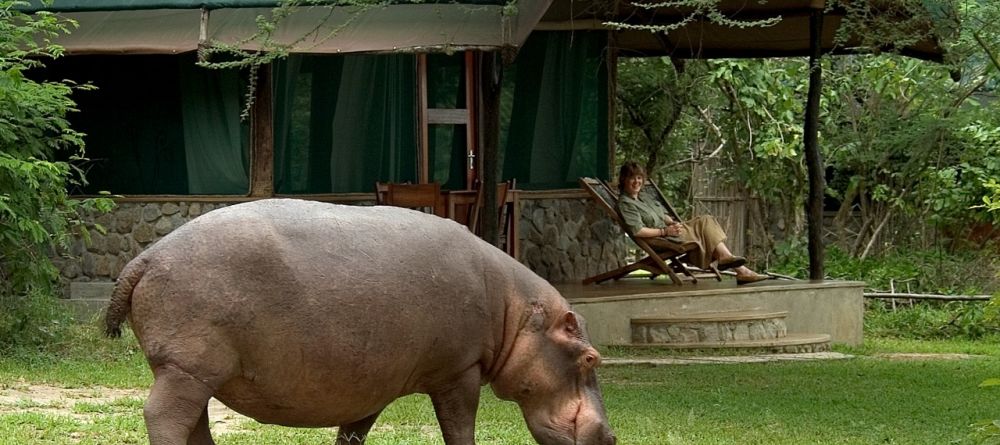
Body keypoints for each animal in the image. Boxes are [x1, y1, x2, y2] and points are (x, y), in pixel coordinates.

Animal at [105, 199, 612, 444]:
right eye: (591, 358)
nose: (610, 436)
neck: (515, 312)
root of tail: (146, 256)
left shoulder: (369, 383)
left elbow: (352, 434)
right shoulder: (459, 372)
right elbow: (459, 428)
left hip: (195, 372)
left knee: (196, 425)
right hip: (187, 368)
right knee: (165, 417)